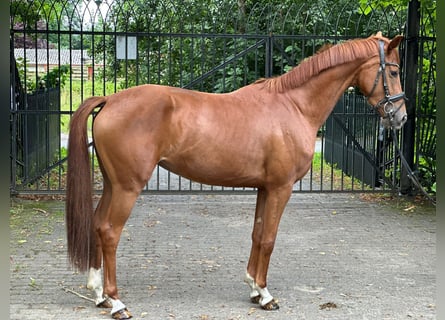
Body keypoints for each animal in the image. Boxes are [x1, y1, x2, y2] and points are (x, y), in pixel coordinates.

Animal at [65, 32, 406, 318]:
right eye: (393, 72)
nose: (400, 117)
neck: (294, 106)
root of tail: (110, 99)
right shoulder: (281, 188)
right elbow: (269, 239)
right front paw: (266, 295)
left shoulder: (265, 188)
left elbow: (257, 234)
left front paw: (254, 288)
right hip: (127, 188)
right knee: (110, 232)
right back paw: (116, 302)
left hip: (113, 185)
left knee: (97, 224)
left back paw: (98, 294)